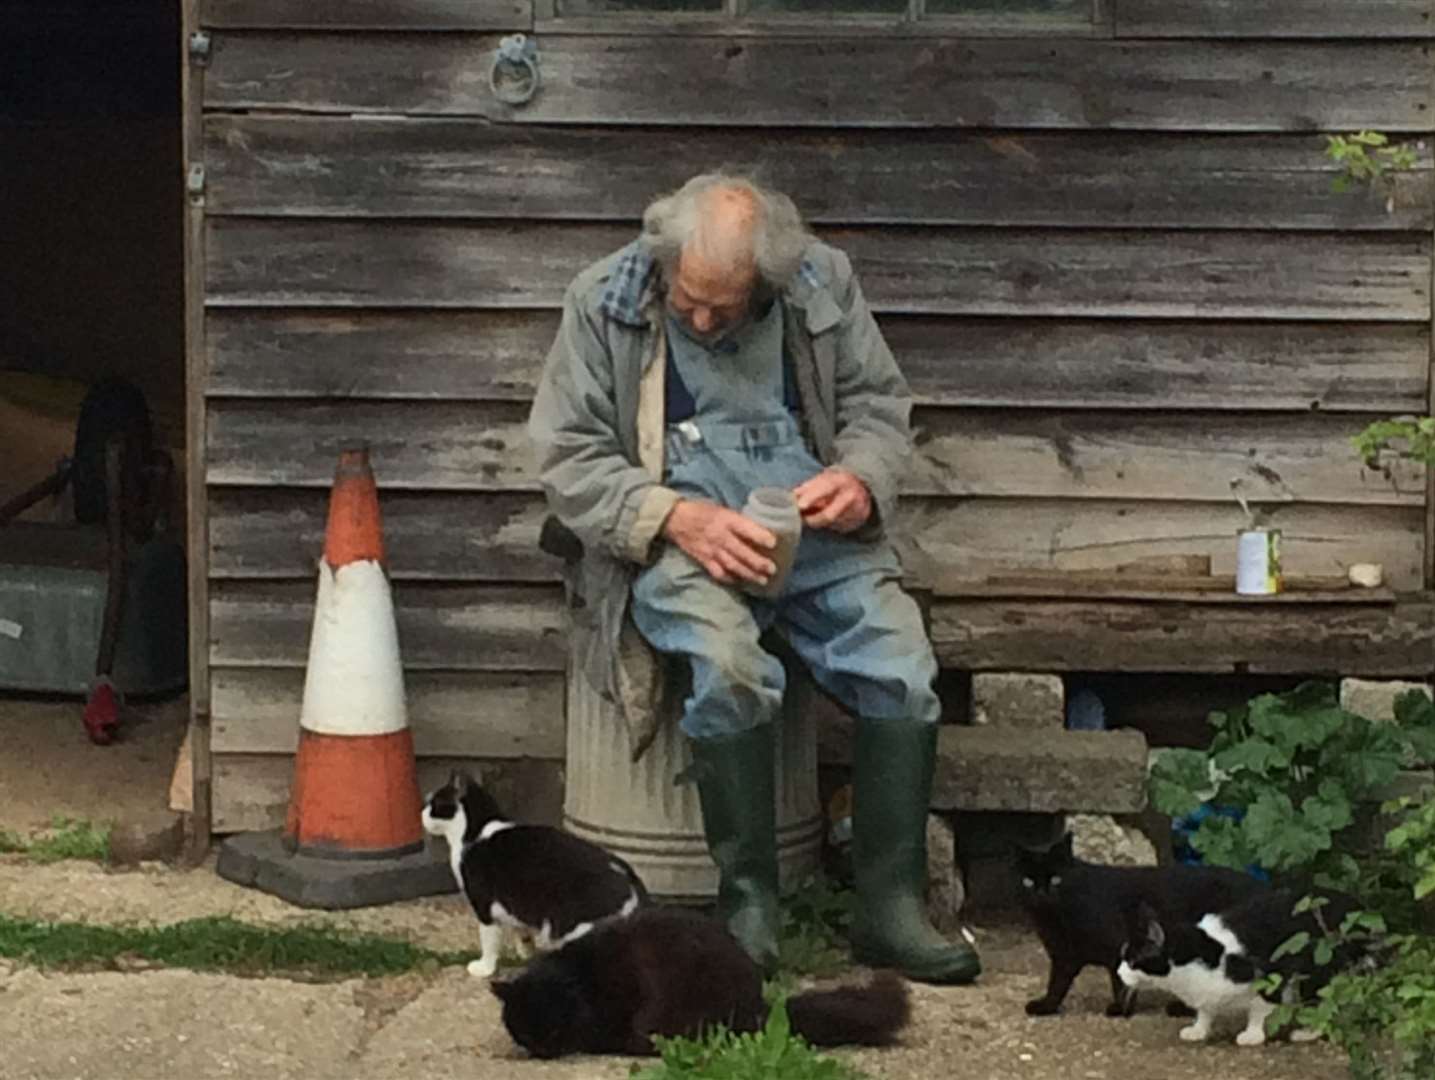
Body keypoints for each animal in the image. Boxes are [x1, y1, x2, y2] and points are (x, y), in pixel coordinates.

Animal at [419, 768, 648, 975]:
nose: (421, 815)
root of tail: (629, 877)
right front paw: (526, 953)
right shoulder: (514, 905)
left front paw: (484, 968)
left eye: (433, 805)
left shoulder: (483, 904)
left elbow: (489, 940)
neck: (473, 832)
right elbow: (521, 931)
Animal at [1010, 831, 1268, 1015]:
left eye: (1056, 879)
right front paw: (1046, 1006)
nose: (1042, 894)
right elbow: (1057, 984)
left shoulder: (1118, 947)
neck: (1057, 918)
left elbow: (1120, 982)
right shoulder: (1064, 955)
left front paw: (1120, 1009)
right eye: (1027, 881)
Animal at [1113, 883, 1360, 1044]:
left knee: (1323, 1001)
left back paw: (1308, 1032)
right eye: (1123, 955)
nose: (1119, 971)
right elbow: (1205, 1009)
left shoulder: (1270, 974)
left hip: (1316, 966)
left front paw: (1253, 1034)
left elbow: (1261, 1005)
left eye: (1132, 961)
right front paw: (1198, 1029)